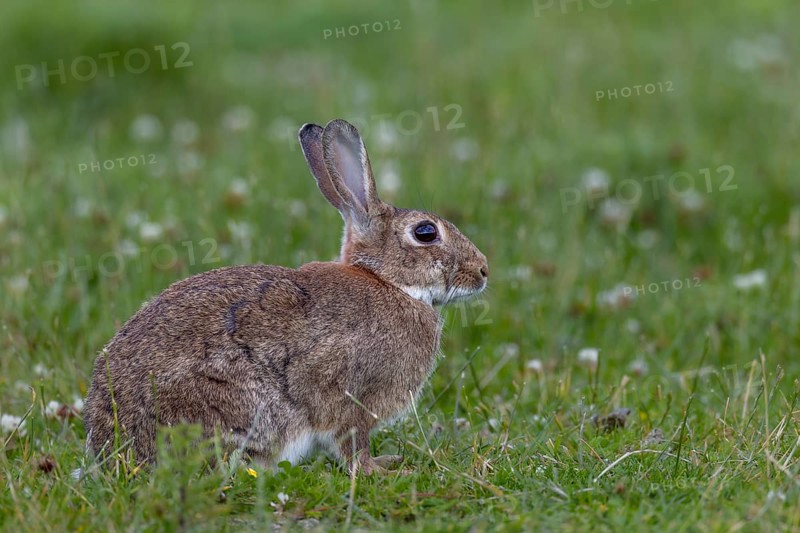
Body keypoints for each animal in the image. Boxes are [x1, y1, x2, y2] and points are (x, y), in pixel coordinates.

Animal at [83, 119, 488, 475]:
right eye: (425, 232)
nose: (483, 271)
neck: (388, 282)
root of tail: (112, 451)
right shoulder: (349, 396)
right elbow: (352, 444)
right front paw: (381, 469)